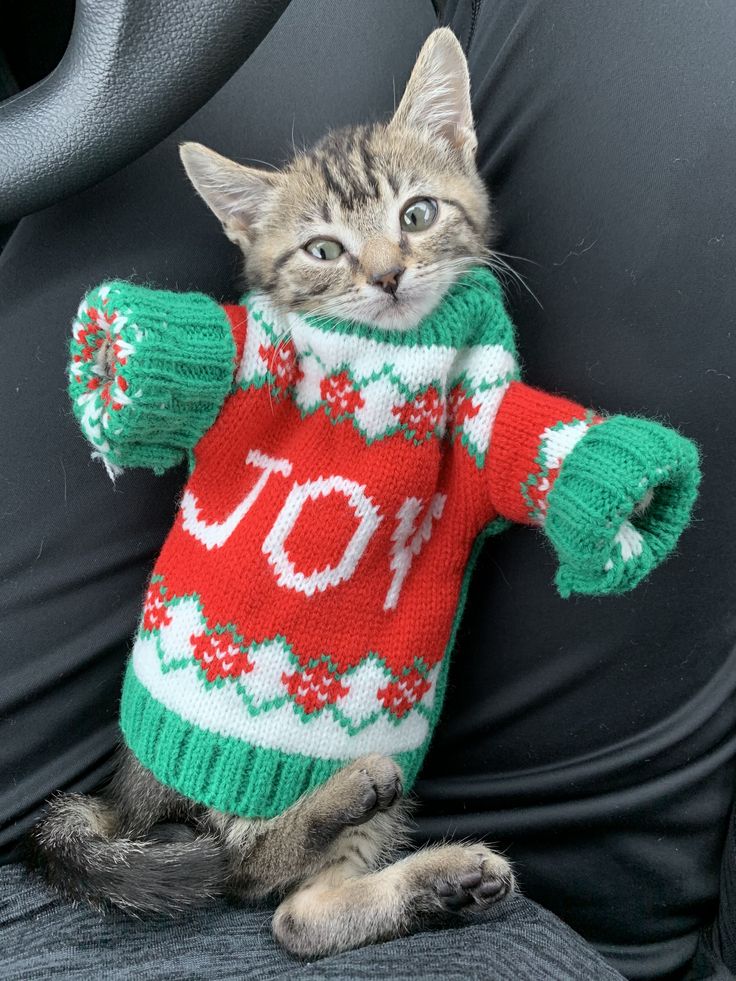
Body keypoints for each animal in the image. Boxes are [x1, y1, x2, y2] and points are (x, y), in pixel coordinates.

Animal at [30, 30, 516, 956]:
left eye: (417, 214)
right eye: (323, 249)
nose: (389, 276)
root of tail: (124, 798)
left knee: (297, 917)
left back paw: (442, 881)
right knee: (246, 872)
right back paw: (346, 793)